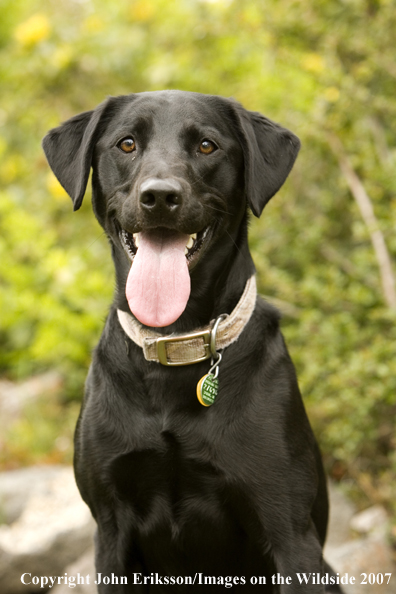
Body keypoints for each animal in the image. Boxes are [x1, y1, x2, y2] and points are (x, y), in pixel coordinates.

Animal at [41, 90, 342, 588]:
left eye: (206, 146)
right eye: (126, 144)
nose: (160, 197)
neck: (175, 344)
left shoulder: (289, 530)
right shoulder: (110, 525)